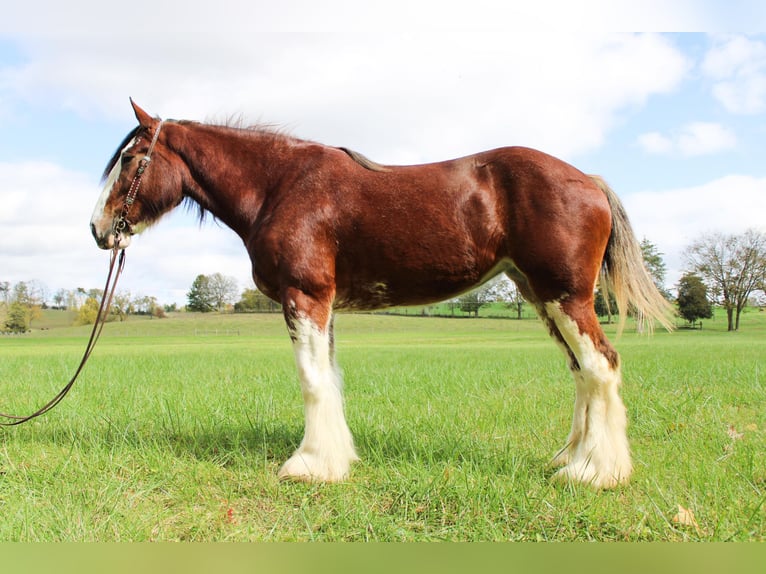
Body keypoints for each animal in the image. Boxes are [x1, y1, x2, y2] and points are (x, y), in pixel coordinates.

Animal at [93, 102, 676, 490]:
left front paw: (308, 466)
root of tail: (590, 180)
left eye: (132, 159)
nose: (100, 230)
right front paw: (335, 459)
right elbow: (329, 379)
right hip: (540, 296)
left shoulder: (305, 296)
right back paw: (570, 459)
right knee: (581, 373)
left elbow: (311, 382)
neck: (281, 185)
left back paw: (595, 472)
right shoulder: (324, 305)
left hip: (566, 297)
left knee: (600, 367)